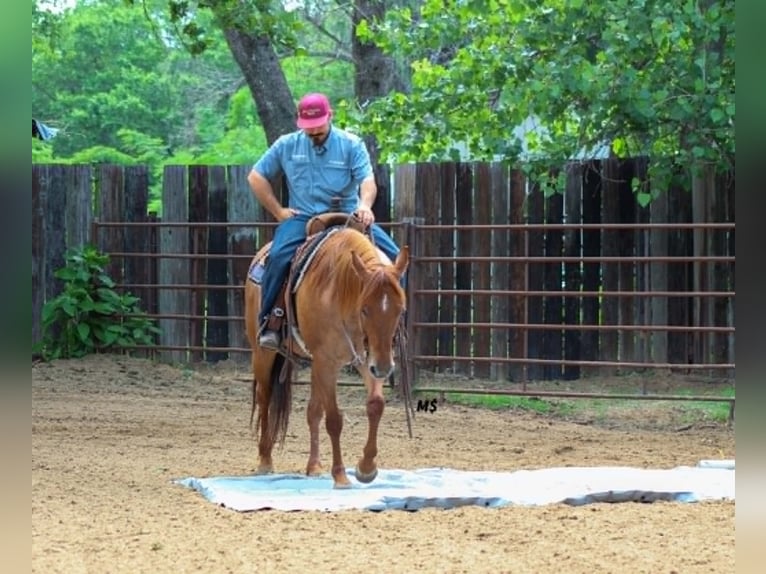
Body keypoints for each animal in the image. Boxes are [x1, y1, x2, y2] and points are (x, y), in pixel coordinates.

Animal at [244, 222, 409, 489]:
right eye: (365, 309)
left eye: (400, 308)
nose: (384, 368)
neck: (340, 291)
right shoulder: (328, 361)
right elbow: (334, 419)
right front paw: (341, 475)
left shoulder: (368, 358)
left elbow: (375, 405)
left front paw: (366, 467)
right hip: (263, 353)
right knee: (265, 397)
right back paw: (265, 460)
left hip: (315, 364)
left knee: (313, 411)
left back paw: (314, 466)